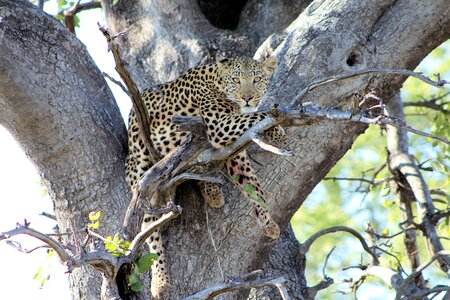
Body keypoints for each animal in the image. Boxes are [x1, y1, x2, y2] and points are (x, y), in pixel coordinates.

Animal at [125, 55, 290, 298]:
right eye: (237, 79)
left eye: (257, 79)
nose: (247, 97)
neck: (218, 83)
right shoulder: (219, 124)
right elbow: (259, 114)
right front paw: (279, 134)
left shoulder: (235, 148)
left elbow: (252, 184)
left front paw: (267, 221)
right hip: (142, 176)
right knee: (149, 233)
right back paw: (160, 282)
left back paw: (212, 192)